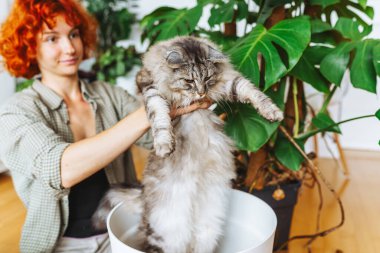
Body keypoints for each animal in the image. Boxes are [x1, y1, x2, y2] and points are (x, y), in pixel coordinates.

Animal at [94, 36, 284, 253]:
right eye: (189, 81)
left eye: (208, 78)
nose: (201, 93)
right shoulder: (150, 88)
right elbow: (159, 116)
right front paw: (164, 145)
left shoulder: (228, 81)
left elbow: (252, 91)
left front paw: (273, 112)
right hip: (167, 236)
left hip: (207, 229)